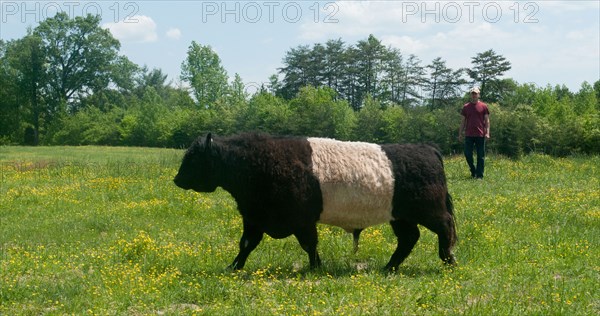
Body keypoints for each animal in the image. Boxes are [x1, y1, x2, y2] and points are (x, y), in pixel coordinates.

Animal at [176, 132, 458, 270]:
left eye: (194, 158)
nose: (177, 179)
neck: (256, 163)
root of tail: (427, 149)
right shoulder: (255, 217)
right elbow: (246, 244)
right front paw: (233, 267)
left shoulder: (301, 220)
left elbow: (309, 244)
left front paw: (316, 267)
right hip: (400, 217)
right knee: (409, 239)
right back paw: (389, 268)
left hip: (428, 210)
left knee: (446, 227)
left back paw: (448, 260)